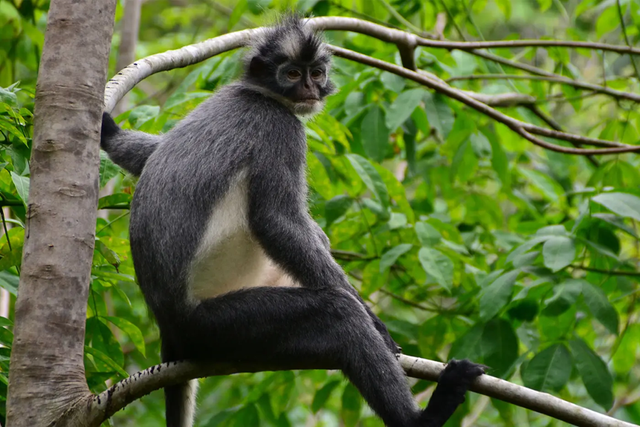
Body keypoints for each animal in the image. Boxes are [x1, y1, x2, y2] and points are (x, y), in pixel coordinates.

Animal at [100, 15, 482, 427]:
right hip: (219, 325)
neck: (258, 95)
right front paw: (374, 322)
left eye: (316, 73)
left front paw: (109, 132)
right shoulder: (279, 129)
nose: (310, 89)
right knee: (337, 315)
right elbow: (276, 222)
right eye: (293, 73)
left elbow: (152, 154)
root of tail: (169, 327)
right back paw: (422, 416)